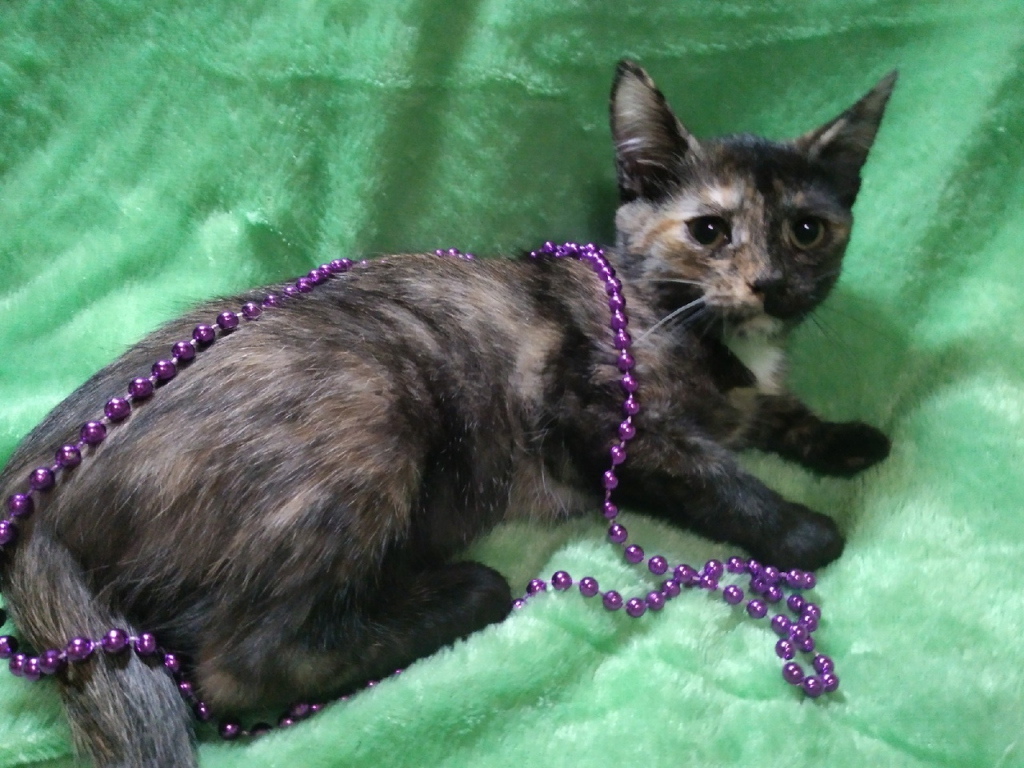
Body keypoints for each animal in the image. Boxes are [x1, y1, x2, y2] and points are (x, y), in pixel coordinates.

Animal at [0, 60, 894, 767]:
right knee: (238, 664)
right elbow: (717, 479)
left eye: (807, 230)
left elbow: (773, 413)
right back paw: (461, 595)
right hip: (370, 409)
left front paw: (847, 438)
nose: (771, 285)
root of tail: (44, 493)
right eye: (709, 231)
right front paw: (805, 530)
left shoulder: (741, 397)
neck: (696, 326)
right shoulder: (600, 420)